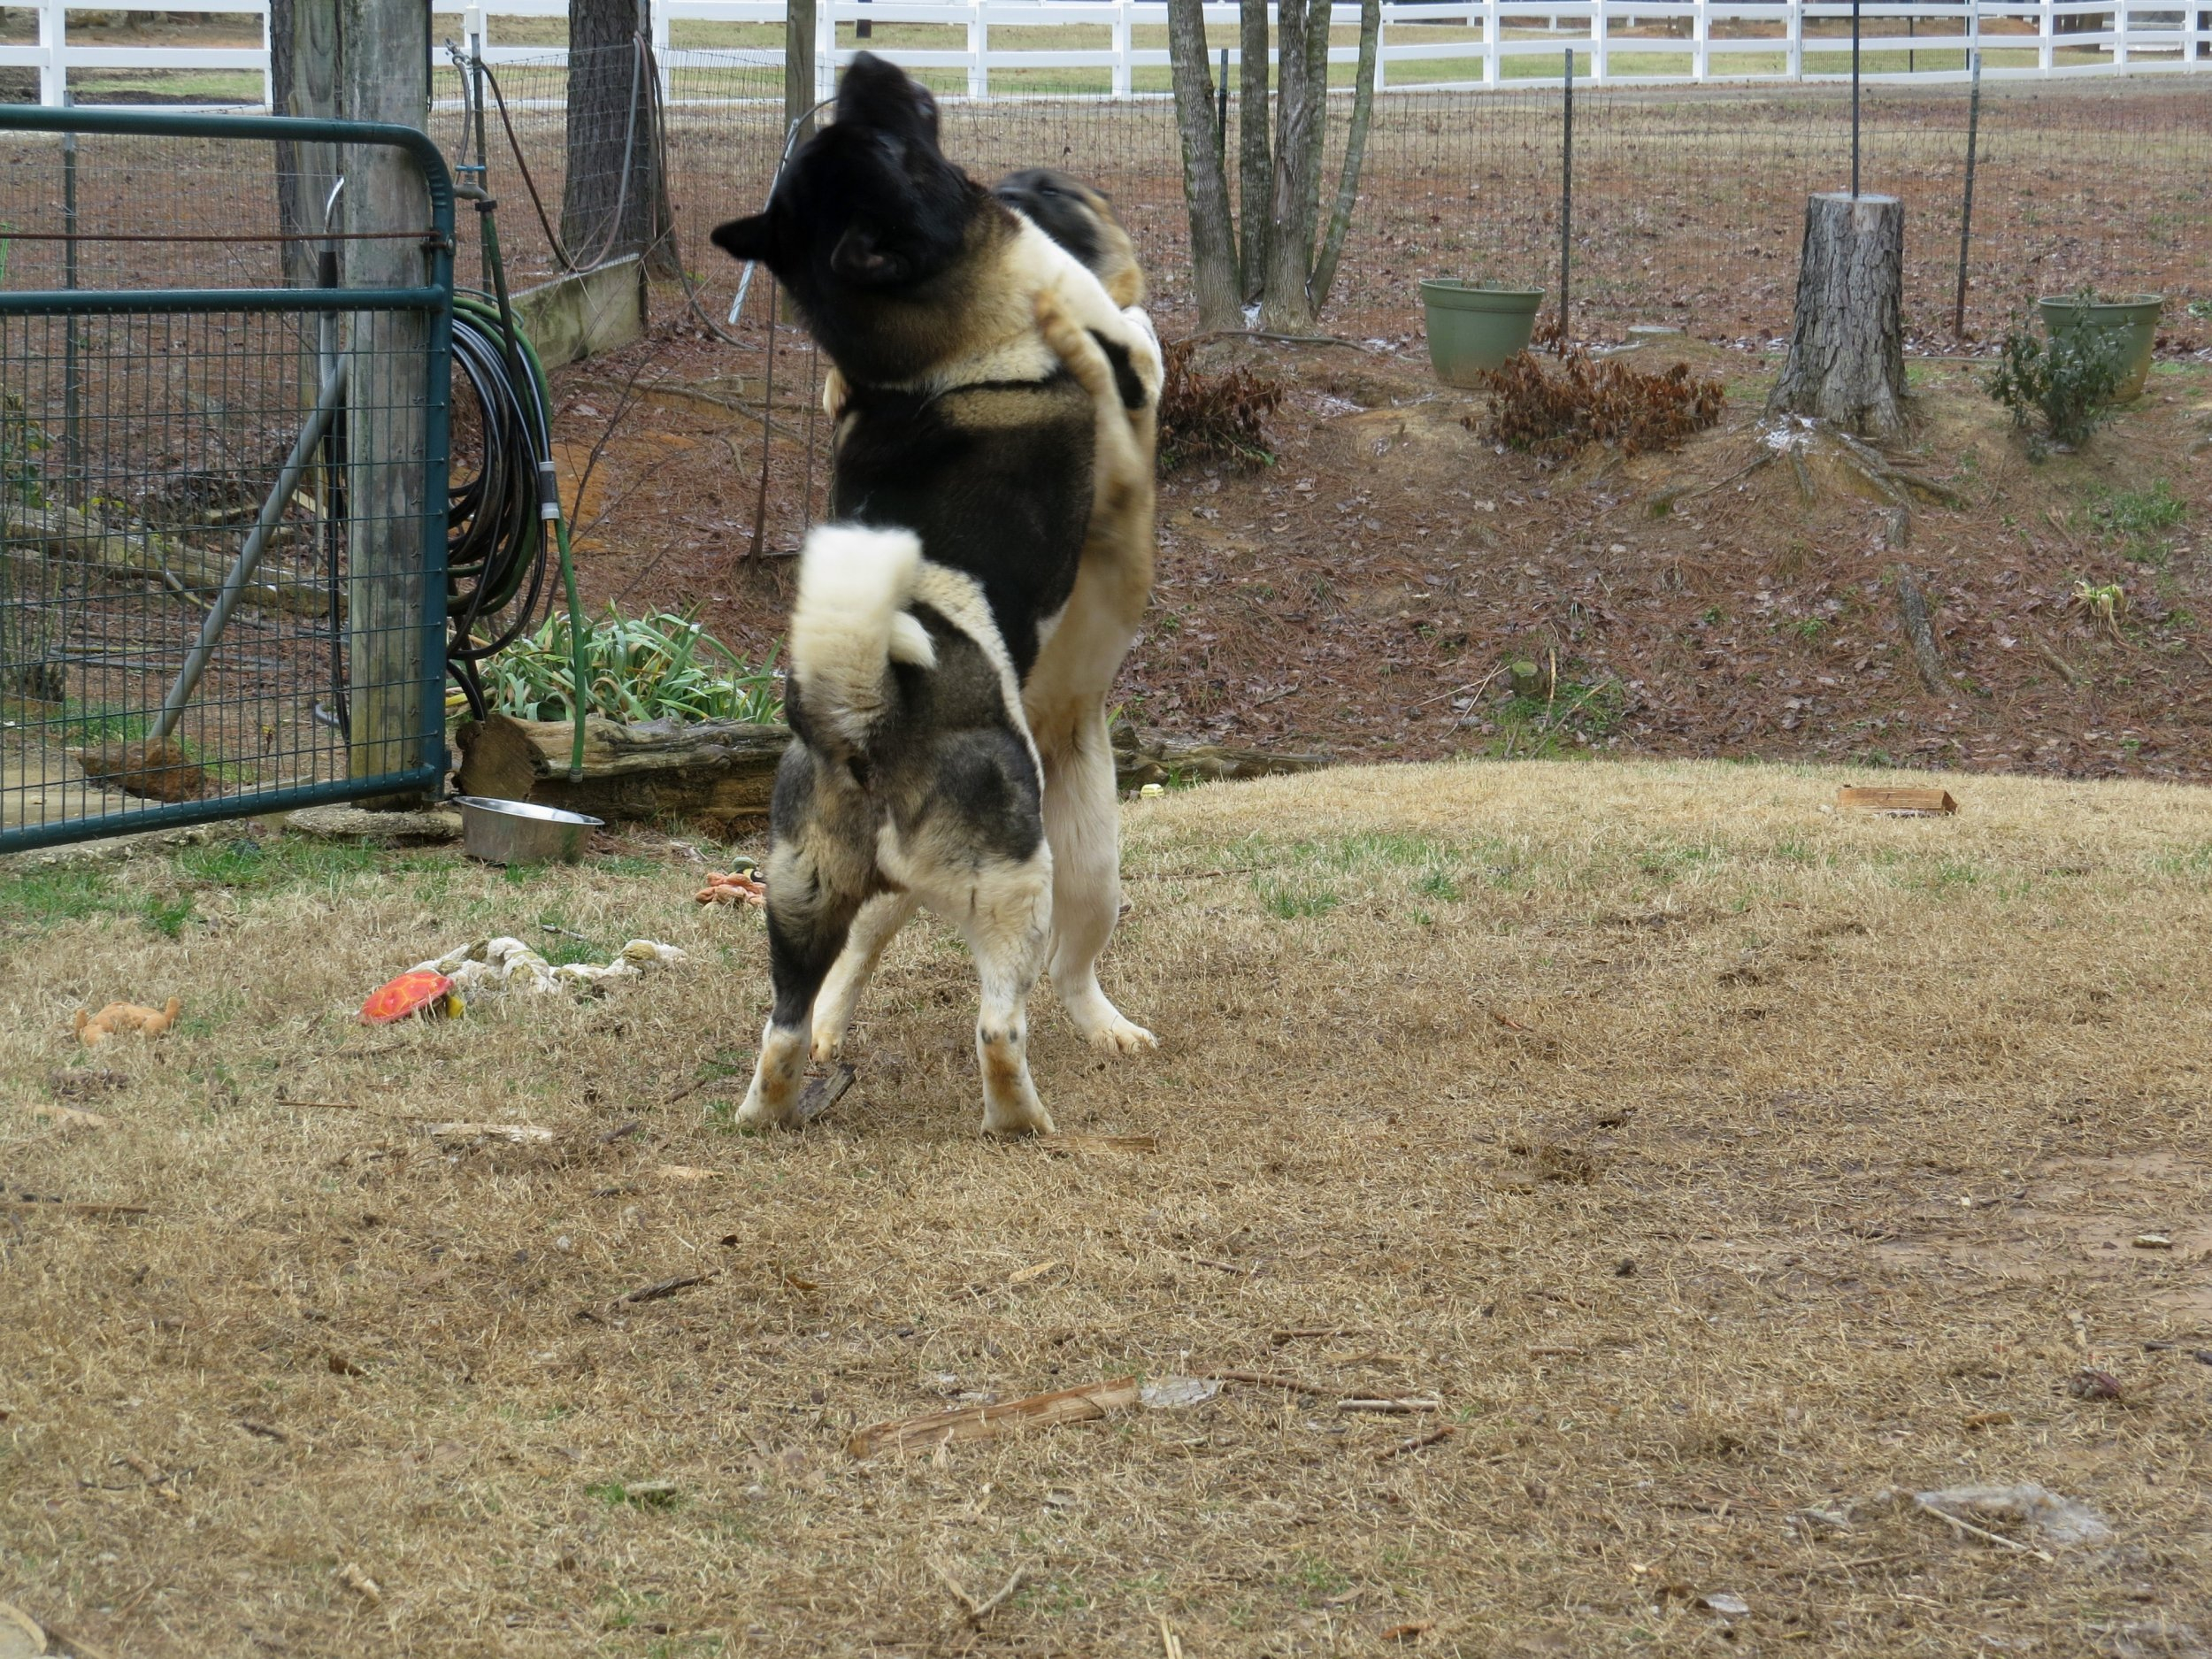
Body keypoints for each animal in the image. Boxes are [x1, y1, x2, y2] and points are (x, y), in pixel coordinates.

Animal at [708, 54, 1162, 1132]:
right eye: (893, 144)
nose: (862, 59)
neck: (926, 362)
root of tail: (861, 714)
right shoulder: (1123, 368)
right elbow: (1128, 338)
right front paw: (1084, 331)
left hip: (813, 899)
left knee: (789, 1020)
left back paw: (775, 1104)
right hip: (1013, 881)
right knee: (1003, 1019)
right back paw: (1021, 1119)